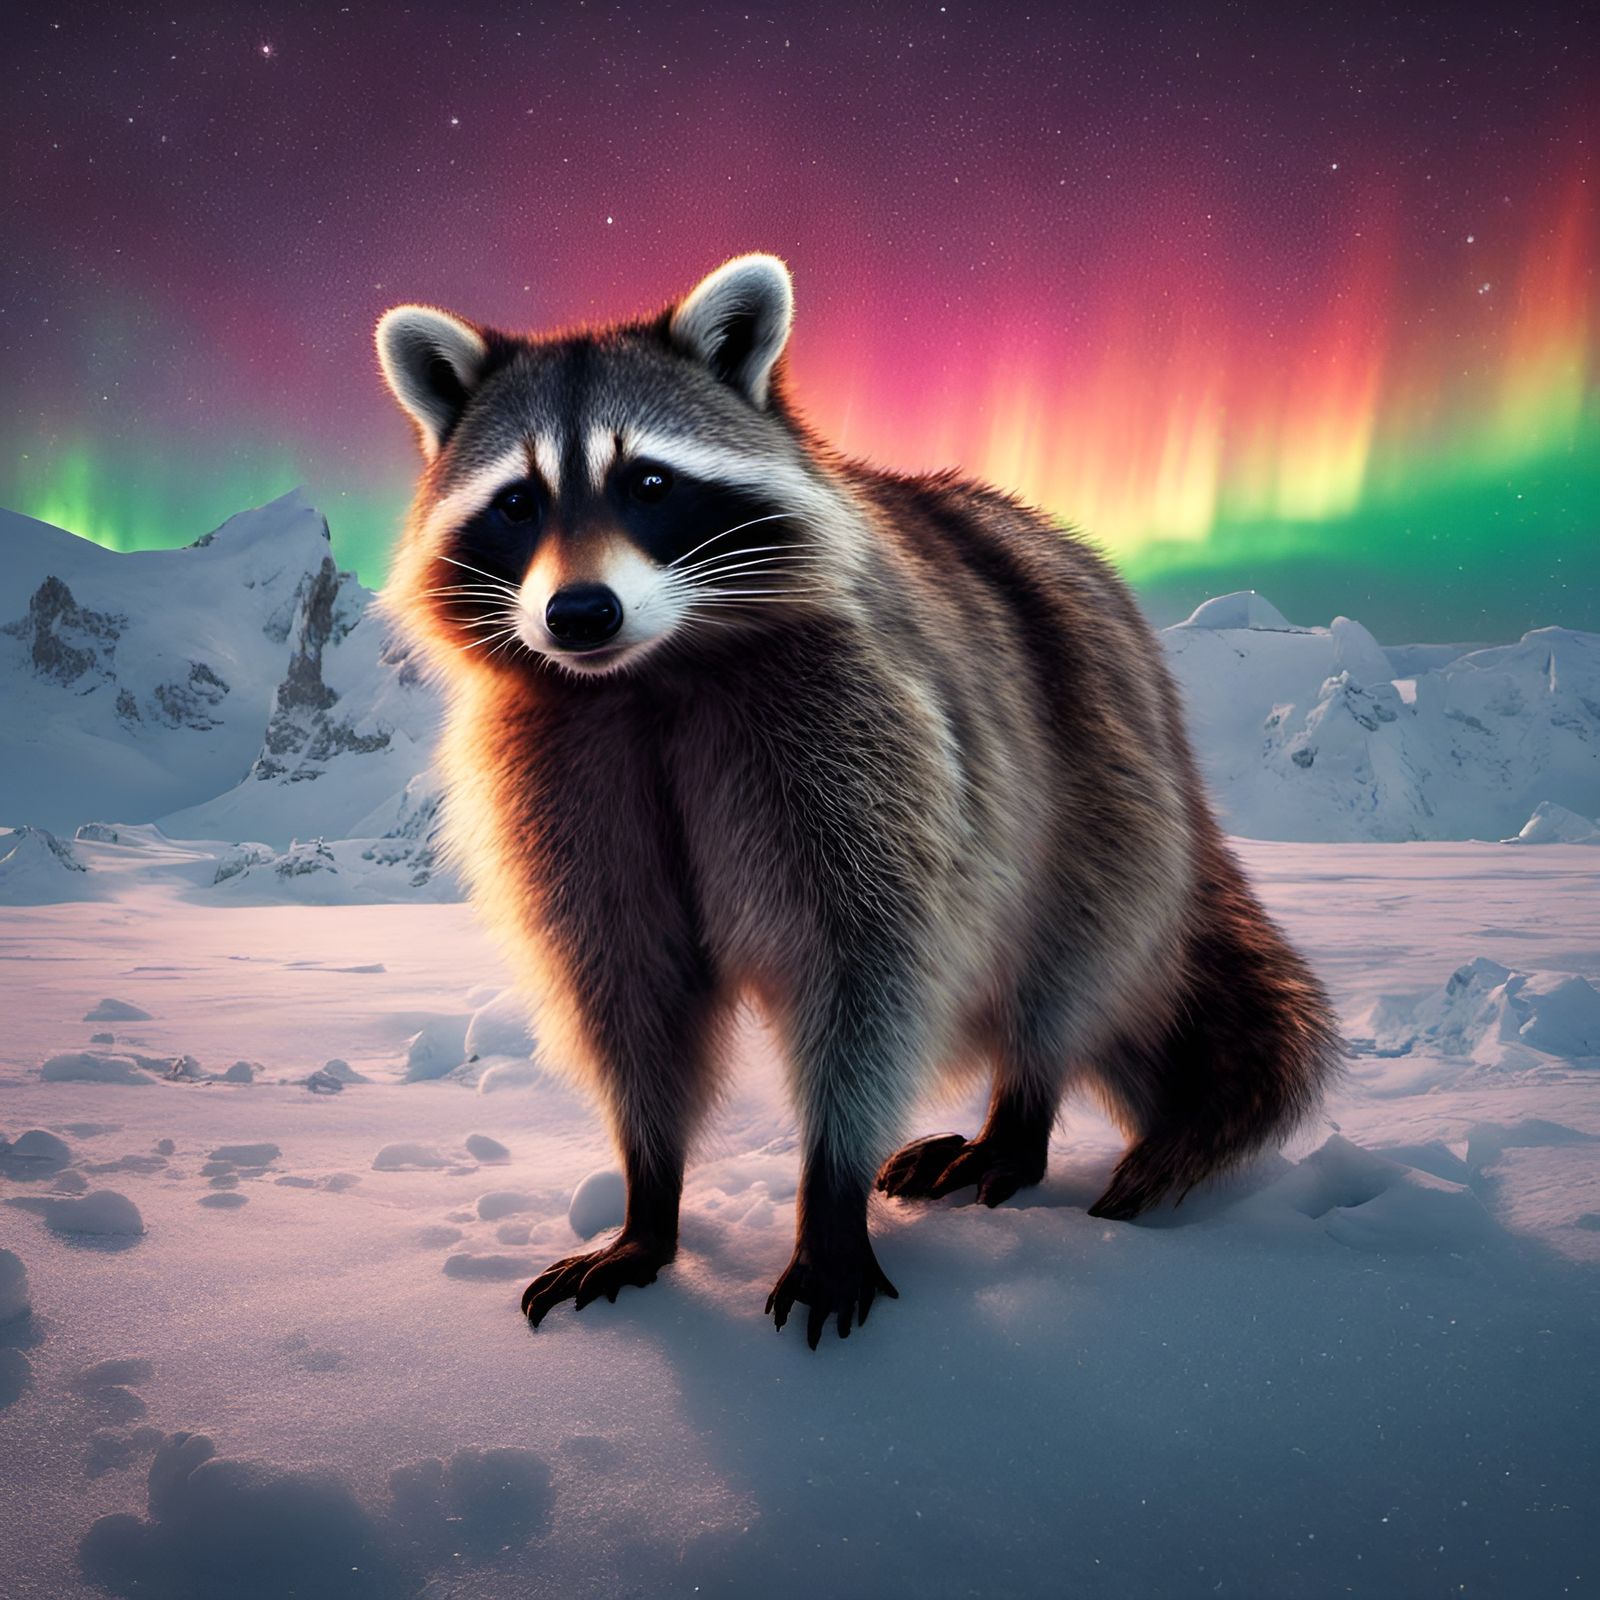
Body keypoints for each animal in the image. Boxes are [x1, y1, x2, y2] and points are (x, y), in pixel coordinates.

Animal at [375, 255, 1341, 1348]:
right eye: (517, 503)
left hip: (1095, 778)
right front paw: (648, 1192)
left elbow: (865, 963)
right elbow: (627, 979)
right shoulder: (567, 771)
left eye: (649, 483)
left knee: (1067, 953)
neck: (651, 675)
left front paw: (828, 1198)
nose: (578, 613)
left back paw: (1020, 1113)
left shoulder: (857, 735)